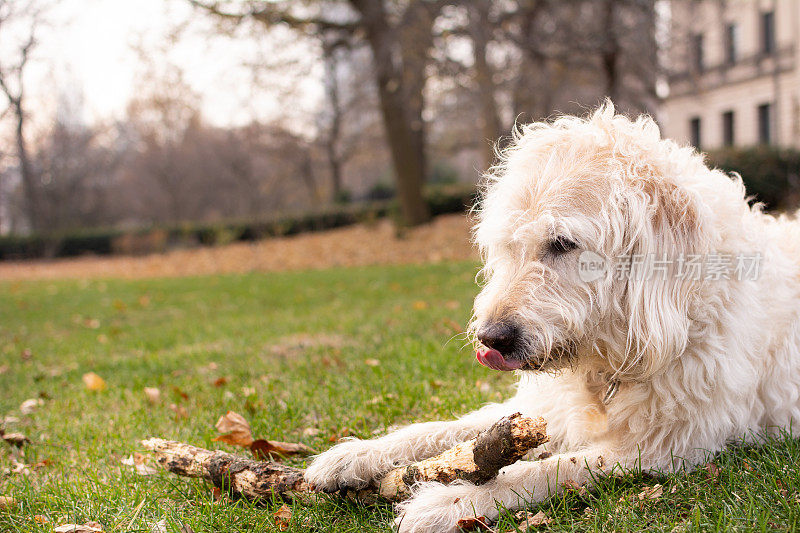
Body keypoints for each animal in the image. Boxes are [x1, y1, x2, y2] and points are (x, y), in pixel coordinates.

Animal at [304, 102, 800, 528]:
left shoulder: (659, 449)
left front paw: (451, 502)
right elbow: (448, 427)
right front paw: (354, 456)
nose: (491, 339)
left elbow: (546, 471)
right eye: (507, 244)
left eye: (562, 243)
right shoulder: (542, 410)